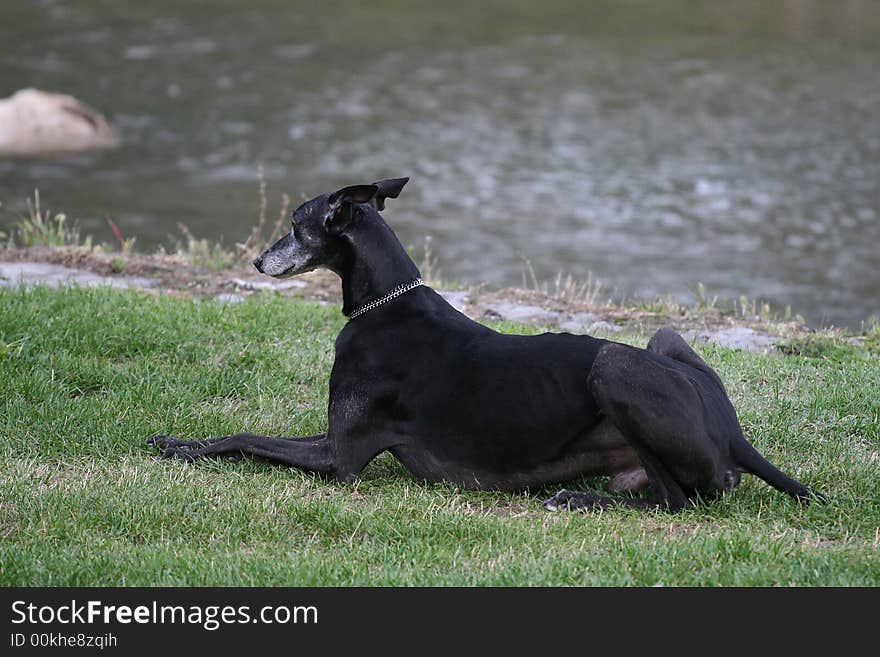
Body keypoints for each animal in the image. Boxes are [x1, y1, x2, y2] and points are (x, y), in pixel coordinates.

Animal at [146, 179, 824, 512]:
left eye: (295, 224)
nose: (258, 261)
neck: (386, 304)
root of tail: (732, 431)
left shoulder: (340, 456)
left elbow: (243, 438)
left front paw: (185, 450)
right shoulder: (337, 437)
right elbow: (241, 431)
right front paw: (178, 440)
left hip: (614, 364)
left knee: (678, 501)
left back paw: (578, 501)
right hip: (663, 340)